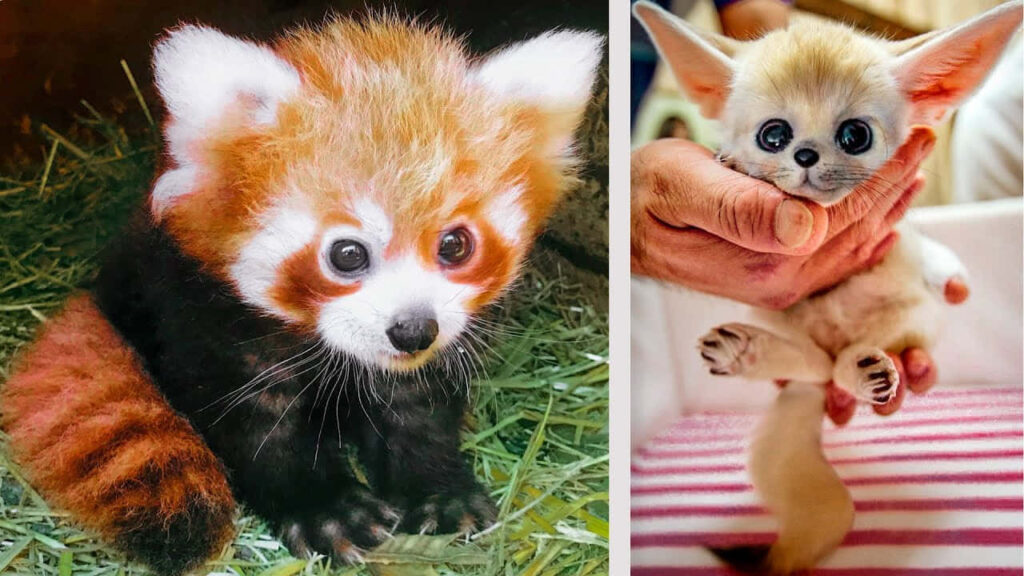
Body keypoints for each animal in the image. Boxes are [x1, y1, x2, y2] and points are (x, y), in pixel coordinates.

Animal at [0, 15, 602, 576]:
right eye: (347, 254)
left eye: (455, 244)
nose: (412, 330)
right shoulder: (205, 320)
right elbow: (259, 430)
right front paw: (329, 511)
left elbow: (419, 411)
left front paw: (439, 494)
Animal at [634, 1, 1023, 573]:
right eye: (773, 135)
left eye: (854, 136)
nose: (805, 156)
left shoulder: (900, 242)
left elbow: (933, 254)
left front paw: (952, 278)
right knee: (815, 364)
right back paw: (748, 352)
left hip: (906, 321)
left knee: (838, 367)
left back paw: (865, 371)